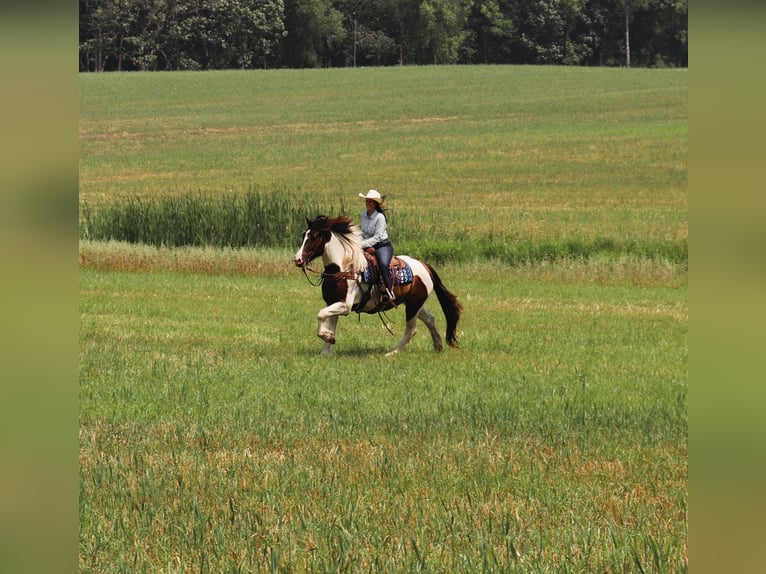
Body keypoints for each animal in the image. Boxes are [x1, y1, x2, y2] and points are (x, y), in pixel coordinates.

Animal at [292, 216, 462, 358]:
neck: (342, 269)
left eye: (314, 237)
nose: (297, 259)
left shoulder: (345, 305)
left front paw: (327, 338)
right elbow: (330, 323)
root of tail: (424, 266)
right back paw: (438, 345)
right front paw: (326, 349)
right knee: (430, 319)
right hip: (414, 303)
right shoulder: (333, 302)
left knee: (411, 329)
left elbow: (320, 314)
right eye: (303, 235)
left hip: (413, 306)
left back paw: (392, 353)